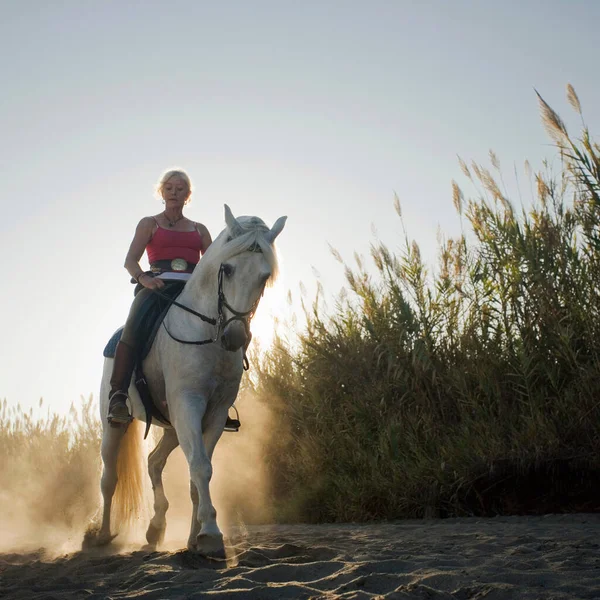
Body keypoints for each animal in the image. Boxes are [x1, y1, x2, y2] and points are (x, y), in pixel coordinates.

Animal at [85, 205, 288, 556]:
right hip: (117, 424)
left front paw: (196, 539)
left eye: (264, 277)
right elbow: (201, 467)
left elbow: (198, 471)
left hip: (172, 426)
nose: (235, 337)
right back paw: (102, 536)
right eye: (228, 269)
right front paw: (210, 534)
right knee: (109, 478)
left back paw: (155, 529)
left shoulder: (214, 413)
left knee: (154, 461)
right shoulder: (189, 403)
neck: (206, 334)